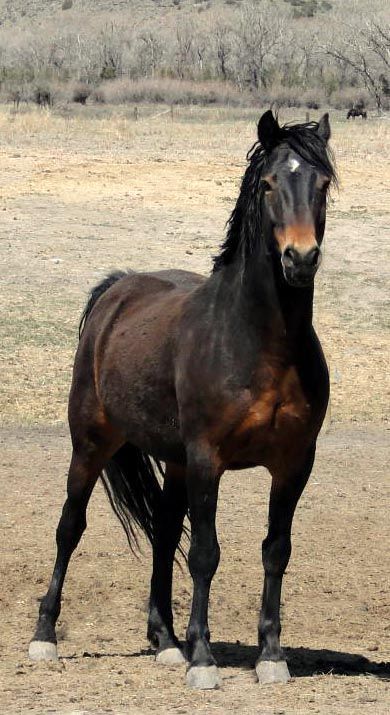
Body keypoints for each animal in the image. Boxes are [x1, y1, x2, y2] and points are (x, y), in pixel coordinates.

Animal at [30, 110, 336, 688]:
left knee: (163, 532)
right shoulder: (206, 459)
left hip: (171, 461)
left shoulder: (294, 464)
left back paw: (168, 642)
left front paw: (270, 656)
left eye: (323, 184)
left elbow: (275, 551)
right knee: (69, 528)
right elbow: (205, 554)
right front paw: (204, 660)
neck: (260, 342)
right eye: (268, 184)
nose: (300, 258)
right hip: (91, 444)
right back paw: (45, 638)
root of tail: (117, 289)